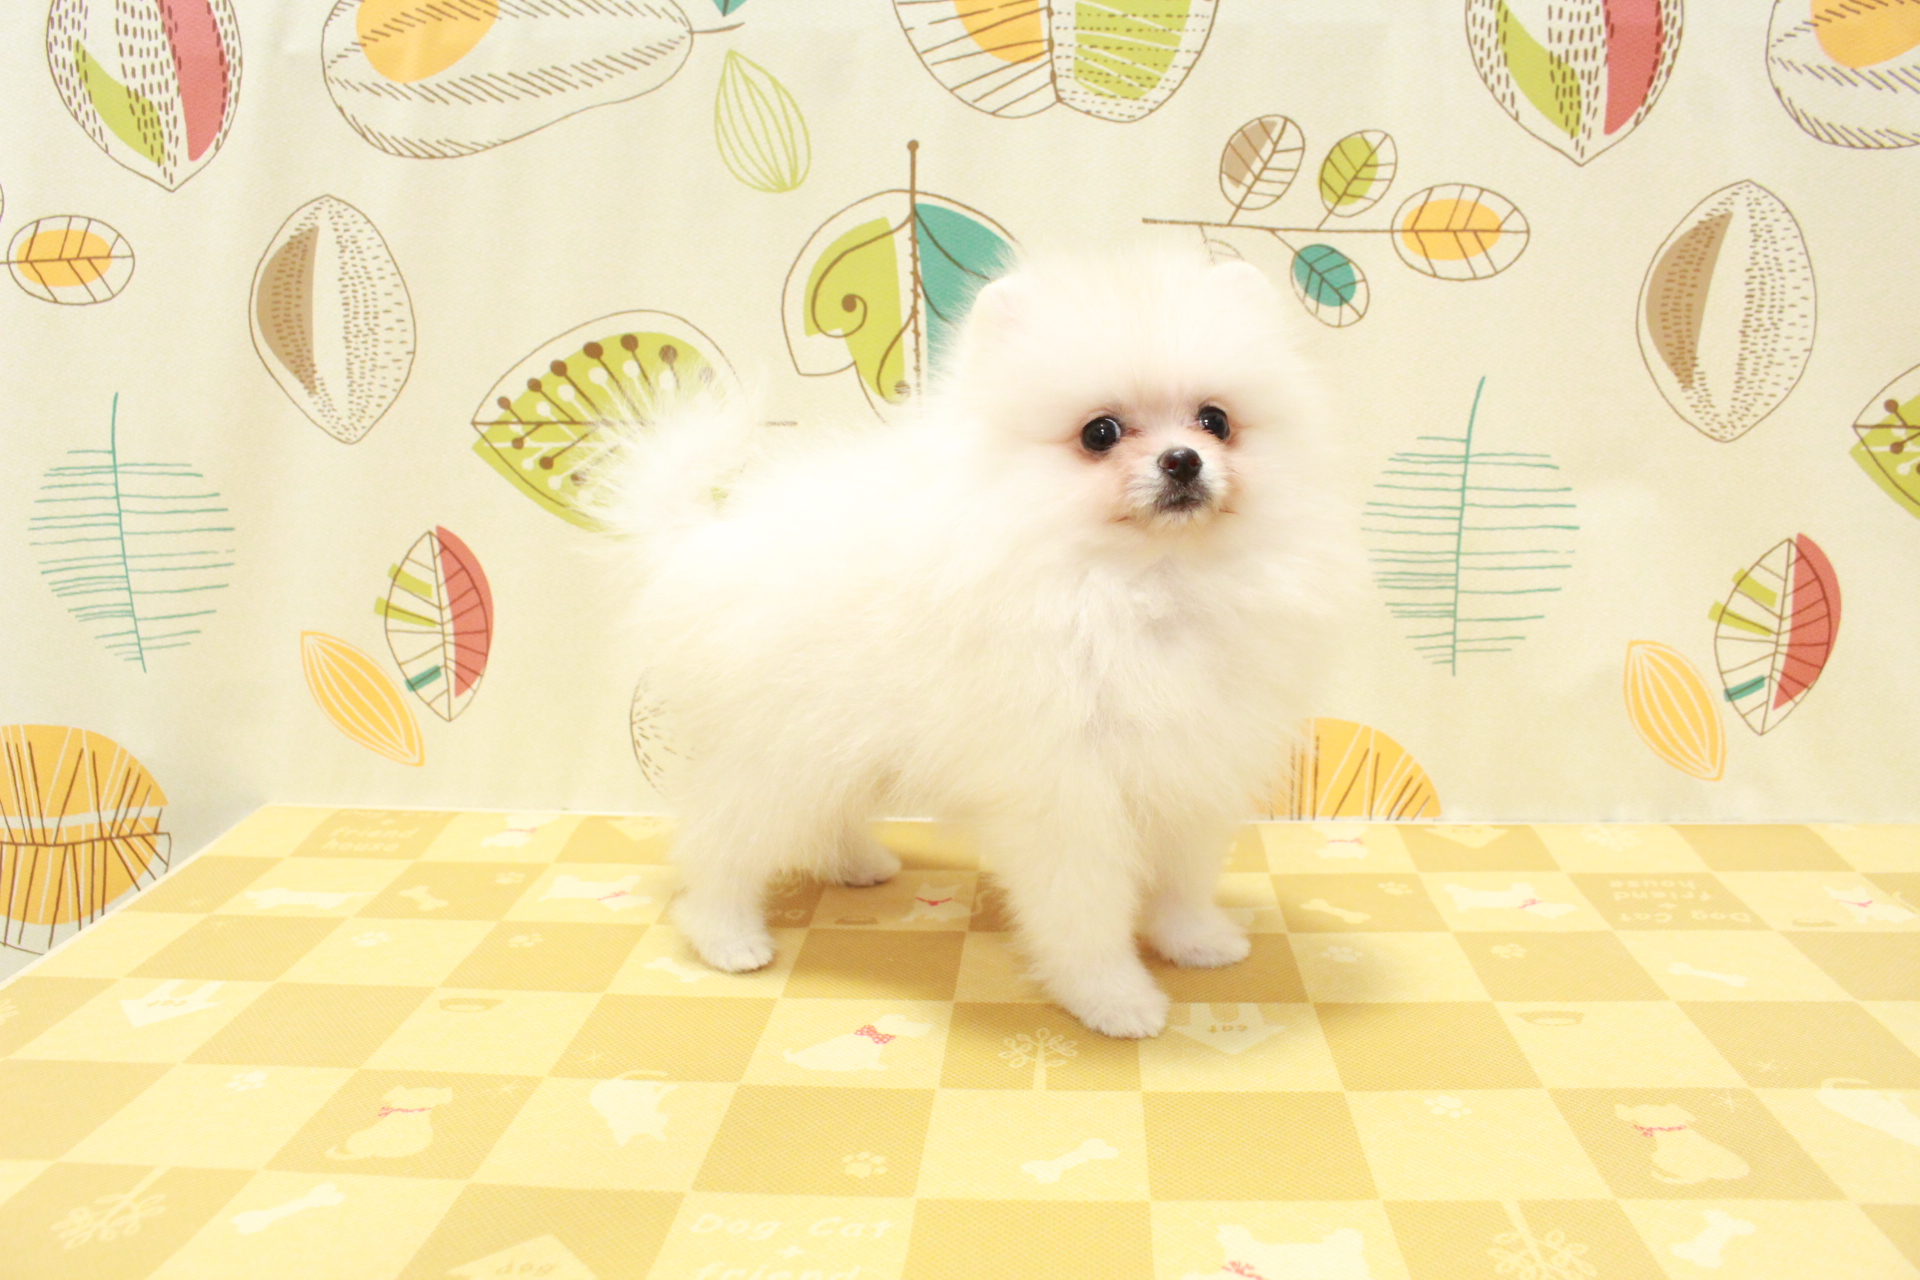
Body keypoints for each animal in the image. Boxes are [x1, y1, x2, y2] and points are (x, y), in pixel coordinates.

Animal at [594, 246, 1349, 1037]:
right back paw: (726, 935)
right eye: (1100, 434)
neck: (1144, 586)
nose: (1182, 459)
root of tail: (698, 544)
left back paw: (855, 862)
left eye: (1215, 420)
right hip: (778, 751)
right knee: (720, 843)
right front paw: (1113, 998)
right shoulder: (1065, 792)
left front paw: (1196, 941)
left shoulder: (1191, 768)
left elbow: (1183, 876)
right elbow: (1083, 911)